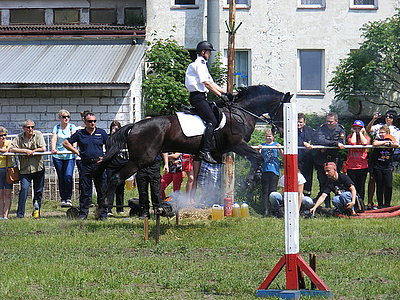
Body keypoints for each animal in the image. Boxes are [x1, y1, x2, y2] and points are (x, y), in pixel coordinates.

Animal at [98, 85, 292, 214]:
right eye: (283, 109)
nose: (282, 131)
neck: (241, 113)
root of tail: (135, 126)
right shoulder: (237, 145)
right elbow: (258, 157)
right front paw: (248, 183)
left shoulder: (224, 152)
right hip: (140, 159)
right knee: (116, 178)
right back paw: (105, 207)